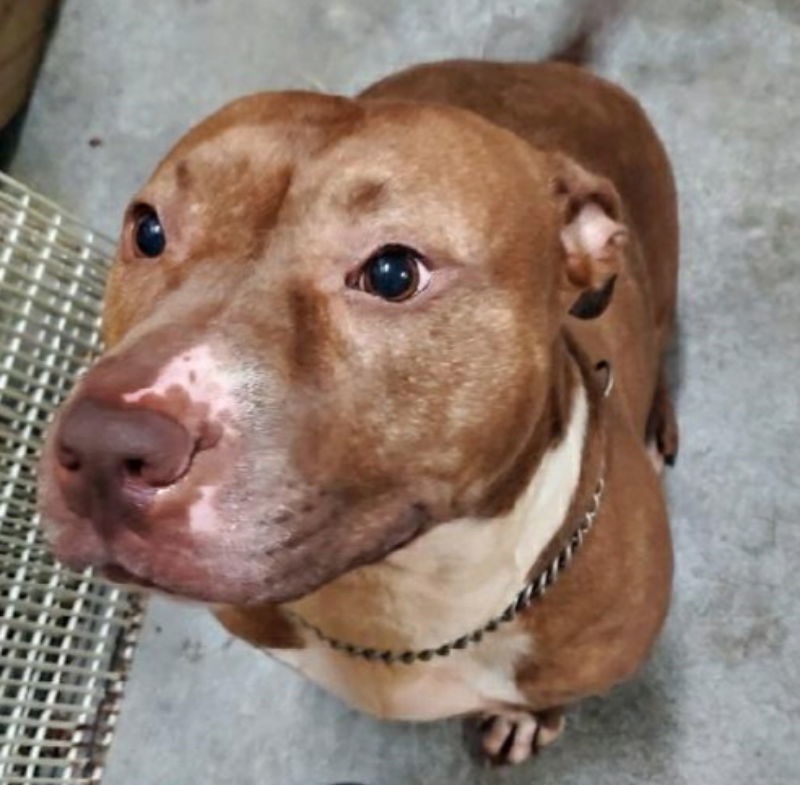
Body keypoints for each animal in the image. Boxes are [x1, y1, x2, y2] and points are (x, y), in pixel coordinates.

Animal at [39, 7, 676, 764]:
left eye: (394, 272)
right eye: (149, 230)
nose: (104, 444)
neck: (394, 598)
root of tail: (551, 68)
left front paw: (527, 718)